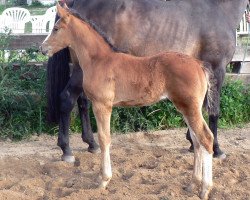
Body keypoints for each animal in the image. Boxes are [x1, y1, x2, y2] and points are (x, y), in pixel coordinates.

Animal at [41, 4, 215, 198]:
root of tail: (199, 65)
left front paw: (104, 180)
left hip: (190, 108)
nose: (42, 49)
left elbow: (104, 138)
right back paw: (192, 185)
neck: (99, 60)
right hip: (185, 107)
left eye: (56, 29)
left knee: (206, 138)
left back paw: (205, 189)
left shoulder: (102, 105)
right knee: (197, 141)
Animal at [46, 0, 248, 162]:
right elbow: (214, 111)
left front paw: (192, 142)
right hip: (80, 72)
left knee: (82, 102)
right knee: (67, 99)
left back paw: (91, 144)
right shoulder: (217, 69)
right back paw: (66, 150)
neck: (219, 9)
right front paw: (217, 149)